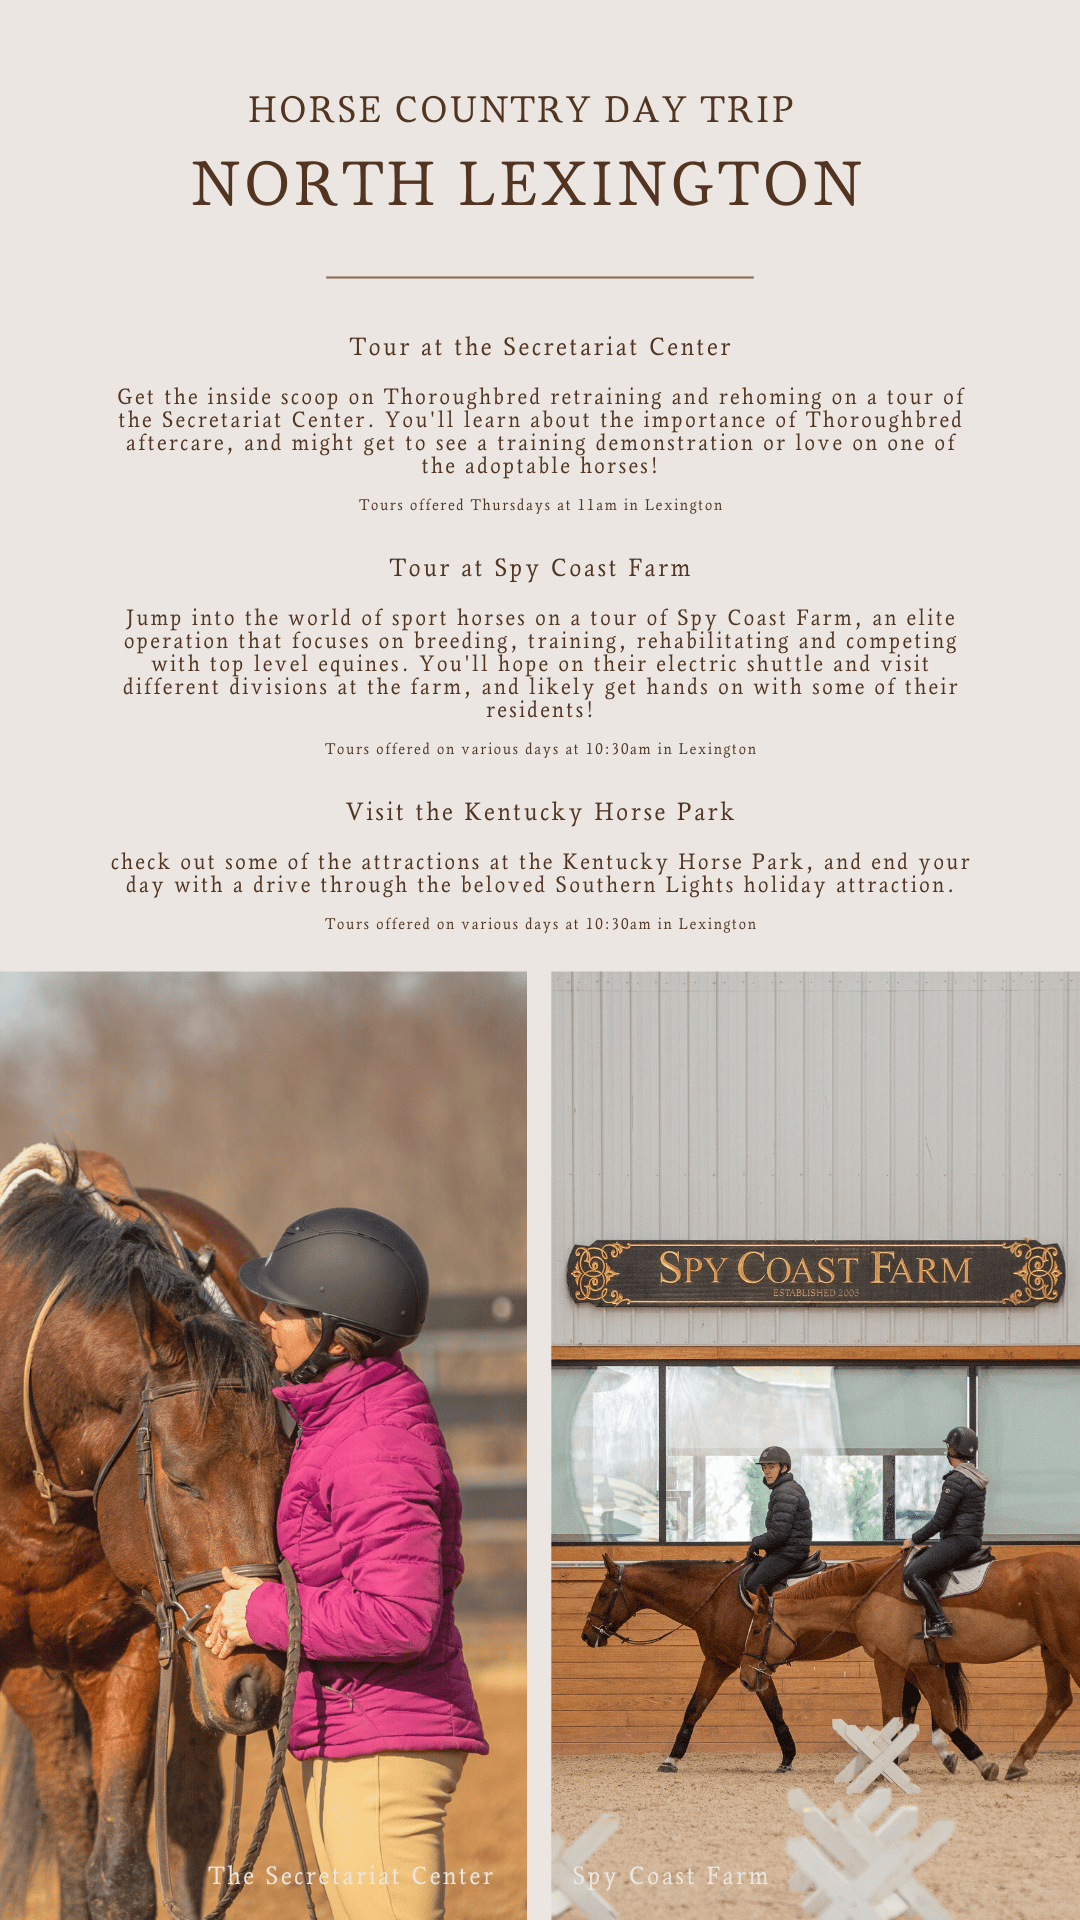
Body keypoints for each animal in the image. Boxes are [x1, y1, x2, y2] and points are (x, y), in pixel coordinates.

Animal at [0, 1153, 291, 1920]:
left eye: (285, 1473)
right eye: (181, 1480)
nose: (260, 1682)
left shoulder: (127, 1646)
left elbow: (123, 1875)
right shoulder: (29, 1669)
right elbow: (77, 1845)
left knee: (191, 1808)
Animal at [581, 1552, 968, 1774]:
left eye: (602, 1593)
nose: (587, 1635)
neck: (713, 1598)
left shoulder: (750, 1667)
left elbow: (774, 1712)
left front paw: (787, 1758)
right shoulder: (719, 1662)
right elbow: (695, 1707)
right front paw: (671, 1758)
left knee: (927, 1694)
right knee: (918, 1696)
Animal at [739, 1552, 1080, 1781]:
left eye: (755, 1630)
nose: (745, 1678)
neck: (870, 1595)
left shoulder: (888, 1661)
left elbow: (892, 1714)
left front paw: (882, 1766)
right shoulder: (924, 1666)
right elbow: (943, 1714)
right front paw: (980, 1762)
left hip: (1069, 1652)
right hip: (1052, 1652)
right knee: (1058, 1701)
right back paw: (1018, 1761)